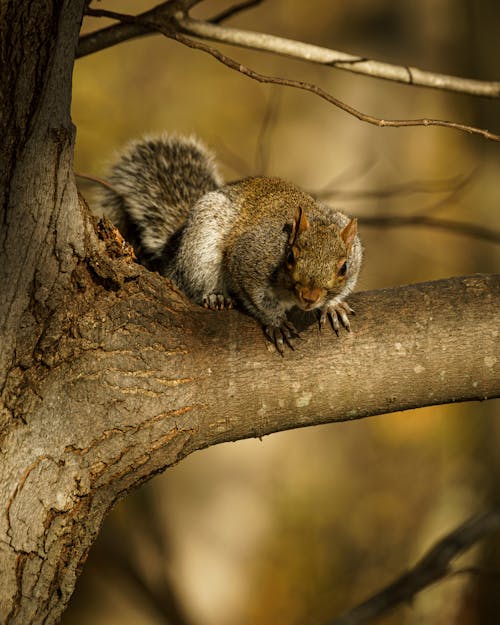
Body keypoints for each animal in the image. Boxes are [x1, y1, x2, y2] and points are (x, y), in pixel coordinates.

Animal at [96, 132, 364, 354]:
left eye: (343, 268)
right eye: (290, 257)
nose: (309, 297)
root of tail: (174, 252)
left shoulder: (356, 253)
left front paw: (333, 306)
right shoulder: (248, 259)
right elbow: (258, 298)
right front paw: (276, 322)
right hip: (201, 248)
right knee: (193, 283)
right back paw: (216, 297)